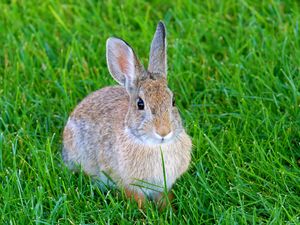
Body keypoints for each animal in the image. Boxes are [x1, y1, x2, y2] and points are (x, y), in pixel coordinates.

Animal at [62, 21, 192, 207]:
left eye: (173, 101)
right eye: (140, 104)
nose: (164, 132)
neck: (155, 146)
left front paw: (168, 210)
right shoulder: (129, 184)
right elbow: (138, 200)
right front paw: (146, 212)